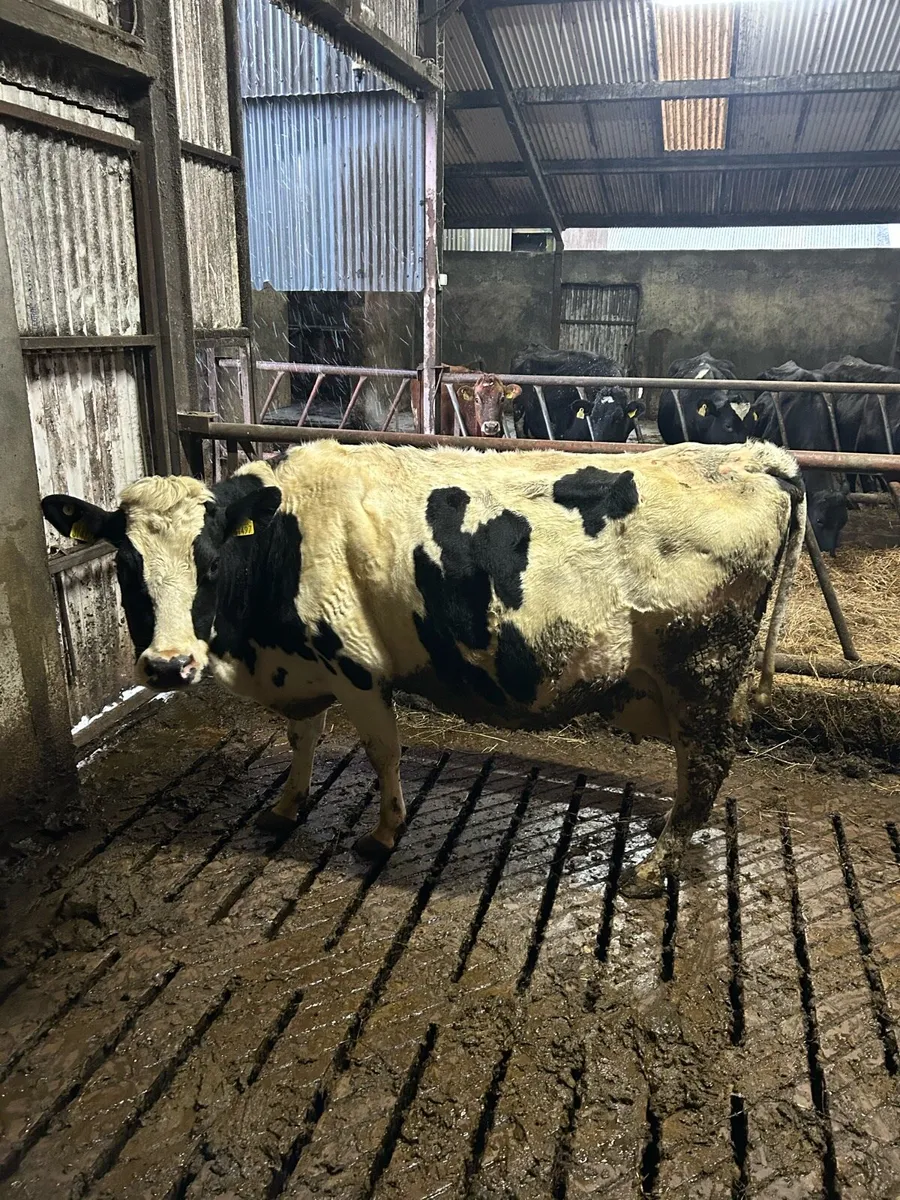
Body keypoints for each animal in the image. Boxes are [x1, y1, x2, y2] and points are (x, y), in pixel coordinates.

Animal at [42, 439, 805, 899]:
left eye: (210, 557)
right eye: (126, 563)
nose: (170, 664)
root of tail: (753, 457)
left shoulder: (354, 665)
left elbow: (381, 750)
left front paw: (382, 834)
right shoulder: (302, 666)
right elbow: (302, 739)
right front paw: (286, 806)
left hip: (703, 667)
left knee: (707, 760)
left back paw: (655, 865)